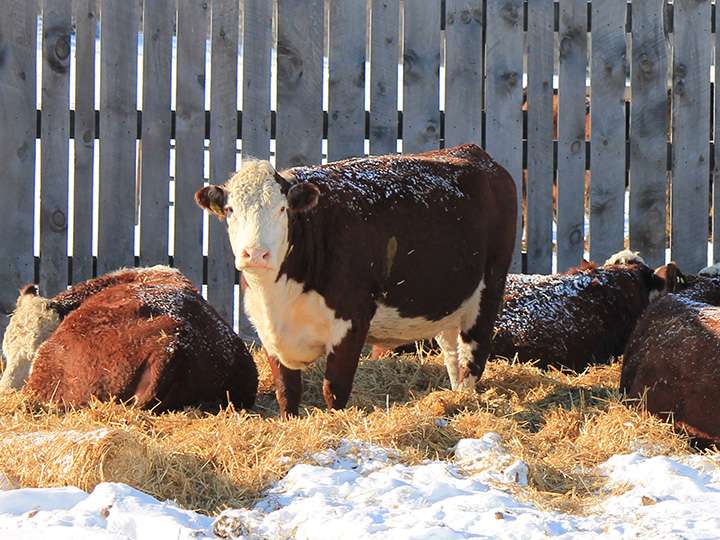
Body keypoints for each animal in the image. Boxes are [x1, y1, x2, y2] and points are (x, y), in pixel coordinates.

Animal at [195, 144, 517, 416]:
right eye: (230, 210)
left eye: (282, 209)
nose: (255, 254)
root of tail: (476, 154)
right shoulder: (267, 331)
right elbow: (287, 393)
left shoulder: (352, 320)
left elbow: (334, 390)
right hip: (448, 301)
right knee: (453, 355)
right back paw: (454, 396)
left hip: (489, 287)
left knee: (473, 355)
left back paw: (466, 400)